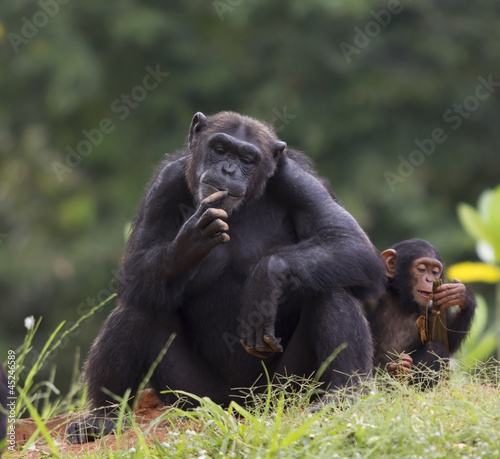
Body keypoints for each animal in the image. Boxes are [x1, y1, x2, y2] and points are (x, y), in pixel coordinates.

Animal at [66, 111, 384, 446]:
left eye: (247, 159)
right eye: (219, 148)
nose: (228, 169)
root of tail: (242, 407)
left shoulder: (299, 182)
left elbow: (348, 241)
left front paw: (264, 279)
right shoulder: (164, 184)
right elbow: (134, 270)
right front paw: (189, 242)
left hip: (285, 389)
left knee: (332, 287)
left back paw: (345, 395)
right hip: (193, 397)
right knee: (139, 307)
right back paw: (101, 419)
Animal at [368, 239, 476, 386]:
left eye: (435, 272)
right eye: (422, 269)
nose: (429, 280)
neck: (400, 298)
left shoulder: (436, 301)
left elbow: (448, 339)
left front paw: (462, 295)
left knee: (434, 347)